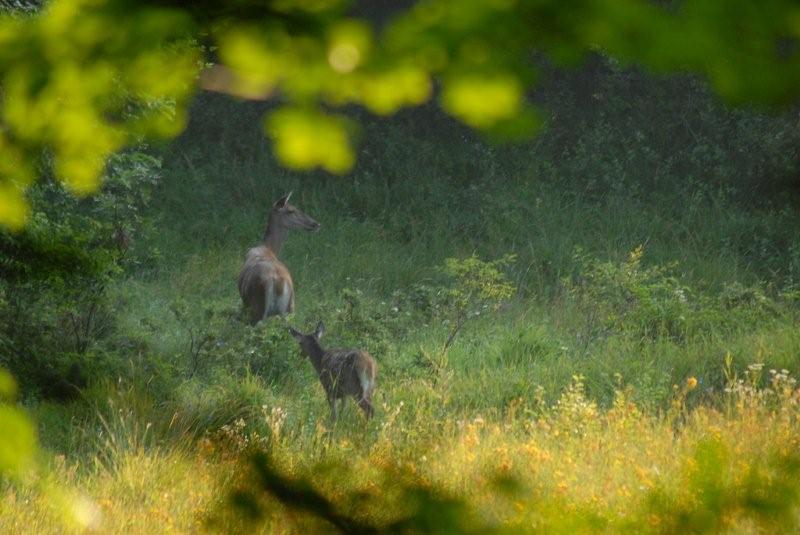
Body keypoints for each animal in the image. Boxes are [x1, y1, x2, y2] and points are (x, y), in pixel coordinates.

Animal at [239, 193, 320, 326]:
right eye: (291, 210)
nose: (316, 224)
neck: (268, 248)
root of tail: (278, 282)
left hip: (257, 307)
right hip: (290, 308)